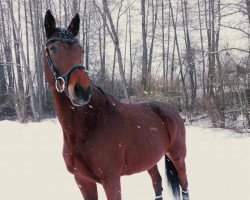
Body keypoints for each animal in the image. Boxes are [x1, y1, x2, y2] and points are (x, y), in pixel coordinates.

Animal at [43, 10, 189, 200]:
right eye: (53, 49)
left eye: (81, 50)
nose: (82, 90)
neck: (86, 127)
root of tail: (172, 111)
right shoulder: (83, 181)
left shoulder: (111, 181)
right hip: (150, 159)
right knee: (157, 184)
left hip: (178, 157)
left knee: (184, 184)